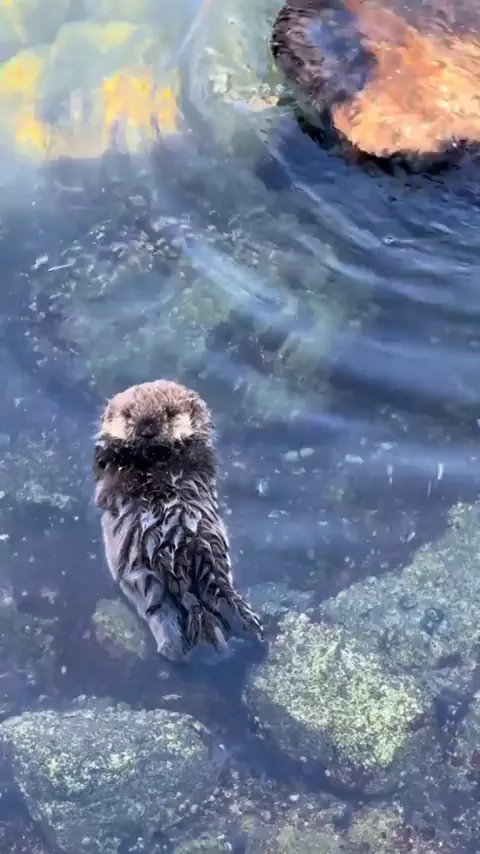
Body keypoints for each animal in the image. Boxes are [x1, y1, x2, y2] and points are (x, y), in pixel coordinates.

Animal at [93, 379, 263, 663]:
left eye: (170, 413)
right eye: (128, 415)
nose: (147, 430)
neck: (153, 464)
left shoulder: (198, 456)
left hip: (198, 558)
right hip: (145, 573)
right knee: (167, 606)